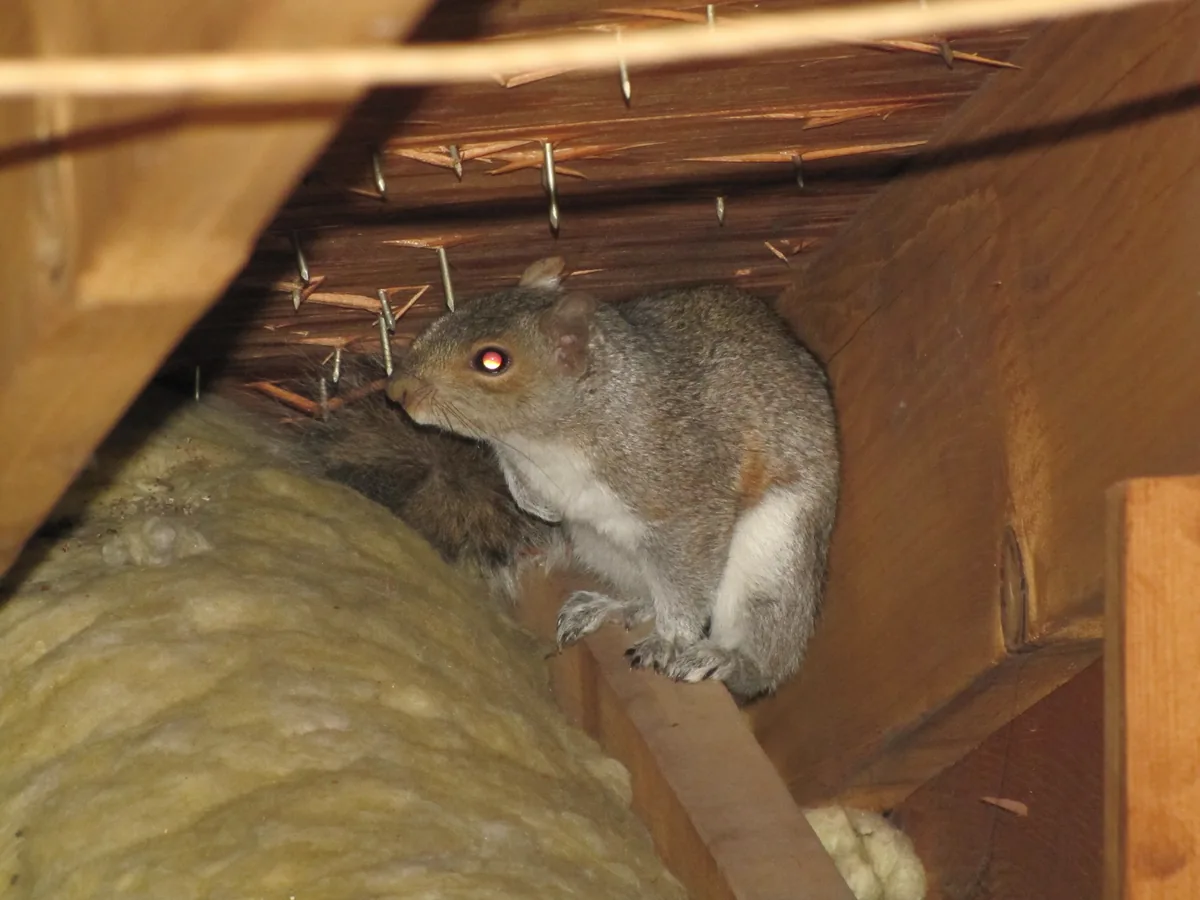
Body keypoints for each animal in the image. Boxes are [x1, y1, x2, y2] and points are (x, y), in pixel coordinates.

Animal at [386, 258, 840, 701]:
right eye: (452, 311)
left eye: (492, 361)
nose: (396, 390)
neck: (542, 441)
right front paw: (536, 503)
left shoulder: (685, 498)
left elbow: (687, 583)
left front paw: (672, 640)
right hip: (603, 548)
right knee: (647, 596)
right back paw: (613, 607)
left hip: (771, 560)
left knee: (761, 660)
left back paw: (727, 659)